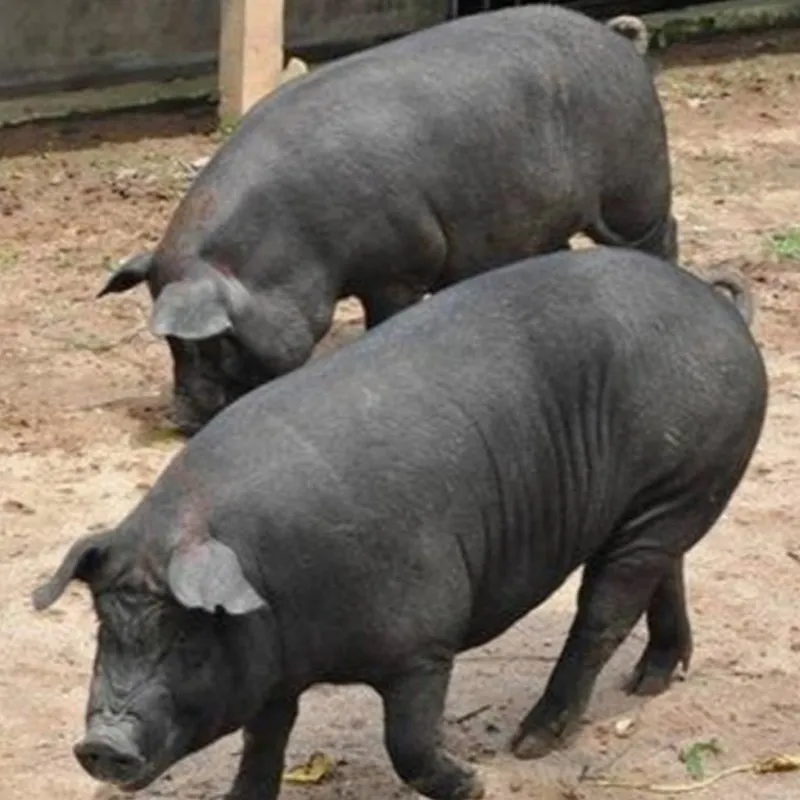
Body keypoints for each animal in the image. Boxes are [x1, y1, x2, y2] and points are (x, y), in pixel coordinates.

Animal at [34, 247, 766, 800]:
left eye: (187, 637)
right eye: (104, 628)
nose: (101, 743)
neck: (277, 584)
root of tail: (715, 303)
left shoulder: (423, 643)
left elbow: (405, 743)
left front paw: (475, 783)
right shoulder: (274, 670)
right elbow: (263, 741)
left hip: (677, 486)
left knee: (604, 613)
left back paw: (532, 742)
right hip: (666, 499)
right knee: (664, 574)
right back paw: (651, 681)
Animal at [96, 5, 676, 435]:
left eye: (208, 340)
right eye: (169, 344)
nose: (178, 420)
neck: (294, 246)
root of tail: (618, 38)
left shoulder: (401, 267)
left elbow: (387, 317)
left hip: (636, 184)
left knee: (658, 234)